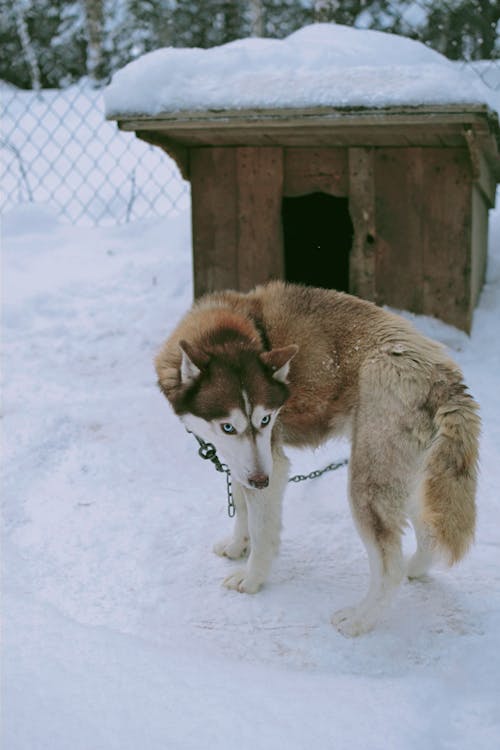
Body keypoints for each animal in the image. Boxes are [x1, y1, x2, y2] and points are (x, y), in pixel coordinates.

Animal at [154, 282, 478, 636]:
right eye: (228, 426)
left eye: (266, 419)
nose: (261, 480)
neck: (237, 330)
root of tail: (443, 376)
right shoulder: (242, 461)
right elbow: (241, 505)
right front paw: (238, 545)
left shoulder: (272, 464)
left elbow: (262, 530)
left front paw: (252, 579)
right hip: (409, 478)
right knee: (428, 532)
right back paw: (415, 568)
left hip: (366, 485)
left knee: (388, 567)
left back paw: (360, 619)